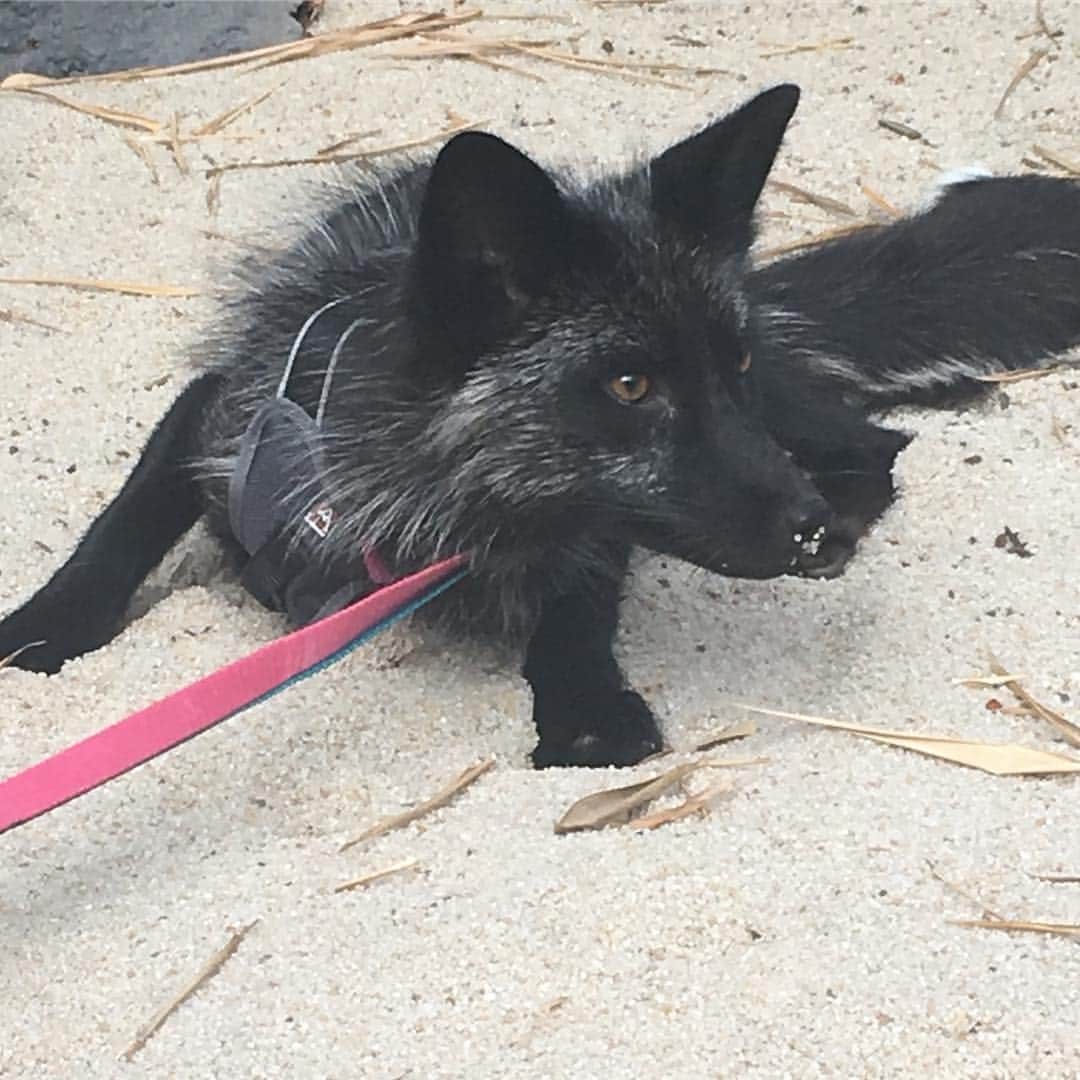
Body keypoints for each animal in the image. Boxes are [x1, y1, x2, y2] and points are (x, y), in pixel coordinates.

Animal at [2, 86, 1080, 768]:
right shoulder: (216, 406)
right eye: (631, 385)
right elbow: (122, 522)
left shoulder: (611, 510)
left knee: (868, 443)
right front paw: (42, 628)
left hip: (792, 409)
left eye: (722, 369)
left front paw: (585, 705)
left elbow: (580, 592)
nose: (806, 528)